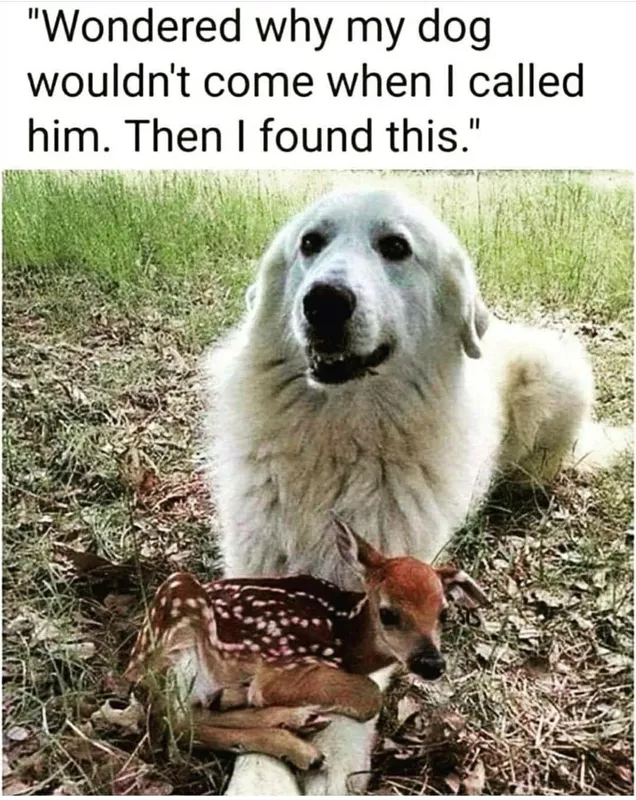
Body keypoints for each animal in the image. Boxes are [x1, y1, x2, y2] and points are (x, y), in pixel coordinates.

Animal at [124, 516, 486, 772]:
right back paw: (301, 747)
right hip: (179, 613)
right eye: (388, 613)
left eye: (444, 613)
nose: (431, 663)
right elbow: (369, 695)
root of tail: (131, 666)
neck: (345, 637)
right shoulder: (283, 663)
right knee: (174, 722)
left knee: (189, 714)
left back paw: (289, 718)